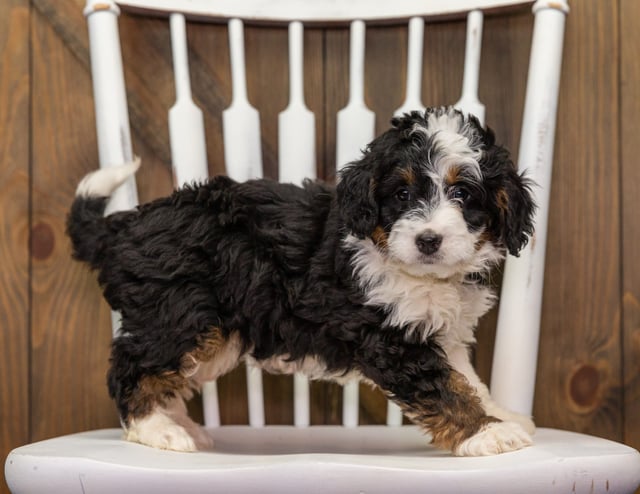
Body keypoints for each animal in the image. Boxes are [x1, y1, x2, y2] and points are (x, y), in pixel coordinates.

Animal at [66, 107, 536, 456]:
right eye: (402, 195)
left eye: (463, 195)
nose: (428, 240)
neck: (420, 273)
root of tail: (123, 226)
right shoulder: (390, 339)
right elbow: (443, 386)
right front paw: (488, 432)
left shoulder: (441, 332)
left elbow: (466, 379)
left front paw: (503, 415)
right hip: (179, 316)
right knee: (131, 367)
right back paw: (158, 429)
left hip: (209, 334)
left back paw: (178, 422)